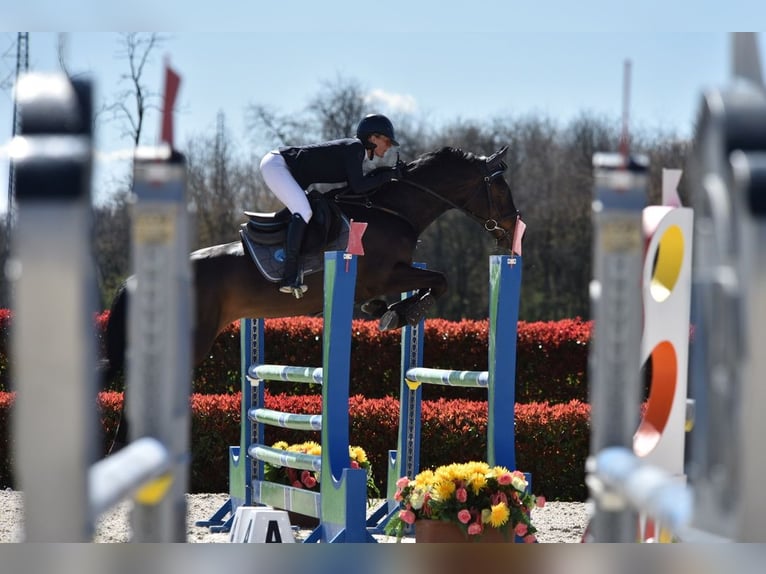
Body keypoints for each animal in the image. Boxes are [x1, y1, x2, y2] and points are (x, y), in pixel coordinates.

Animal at [103, 145, 520, 450]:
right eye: (501, 188)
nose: (514, 228)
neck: (393, 210)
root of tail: (136, 281)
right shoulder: (385, 273)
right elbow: (440, 280)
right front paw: (402, 312)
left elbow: (427, 283)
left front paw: (390, 311)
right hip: (189, 342)